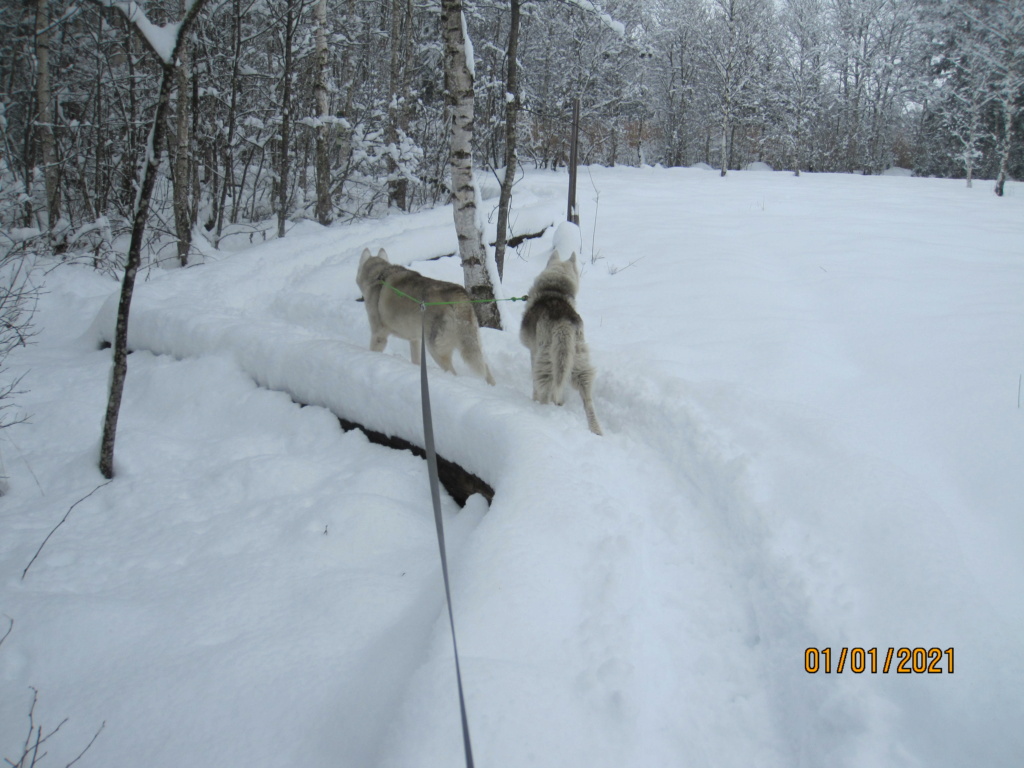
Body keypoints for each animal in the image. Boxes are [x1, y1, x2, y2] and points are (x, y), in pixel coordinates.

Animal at [356, 249, 495, 385]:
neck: (379, 275)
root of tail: (457, 295)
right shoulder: (415, 339)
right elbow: (416, 361)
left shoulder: (379, 335)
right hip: (471, 344)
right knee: (485, 367)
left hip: (435, 349)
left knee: (453, 373)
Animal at [520, 250, 598, 436]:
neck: (554, 290)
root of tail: (564, 323)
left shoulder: (533, 353)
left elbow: (535, 384)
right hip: (577, 359)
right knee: (587, 398)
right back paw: (596, 431)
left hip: (546, 360)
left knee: (545, 389)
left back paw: (541, 408)